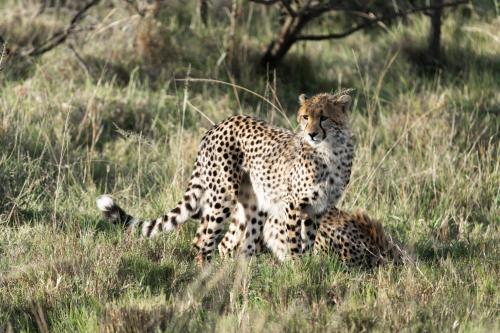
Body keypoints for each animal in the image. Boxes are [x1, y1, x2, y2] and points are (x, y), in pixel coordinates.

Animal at [95, 91, 354, 262]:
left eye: (323, 117)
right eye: (305, 117)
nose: (311, 134)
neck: (330, 150)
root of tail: (219, 124)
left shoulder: (317, 208)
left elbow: (308, 241)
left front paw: (307, 267)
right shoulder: (292, 204)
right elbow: (293, 242)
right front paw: (296, 271)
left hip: (253, 204)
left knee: (230, 243)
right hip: (223, 195)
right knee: (205, 241)